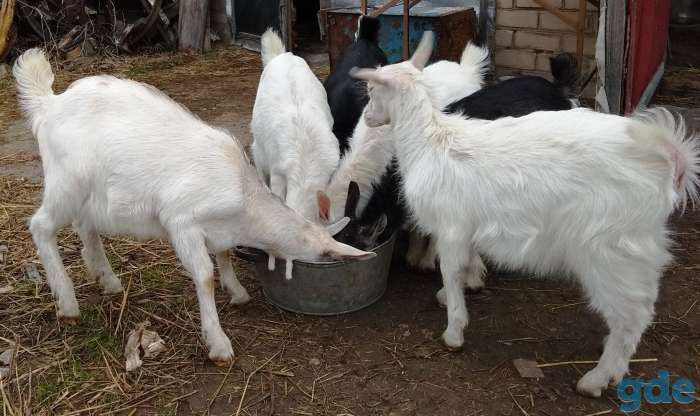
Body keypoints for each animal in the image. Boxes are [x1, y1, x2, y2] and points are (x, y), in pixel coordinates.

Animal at [13, 48, 374, 365]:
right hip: (65, 181)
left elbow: (224, 253)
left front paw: (237, 291)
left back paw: (108, 280)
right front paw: (218, 343)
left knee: (84, 225)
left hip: (90, 193)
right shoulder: (181, 222)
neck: (245, 202)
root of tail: (49, 104)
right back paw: (68, 303)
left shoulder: (219, 230)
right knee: (41, 226)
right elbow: (204, 276)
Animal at [351, 31, 700, 398]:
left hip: (611, 251)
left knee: (631, 315)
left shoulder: (452, 227)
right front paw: (454, 295)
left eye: (372, 90)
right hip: (635, 248)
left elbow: (451, 270)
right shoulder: (466, 228)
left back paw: (596, 379)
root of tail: (667, 157)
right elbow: (462, 267)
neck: (432, 142)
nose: (370, 118)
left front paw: (454, 331)